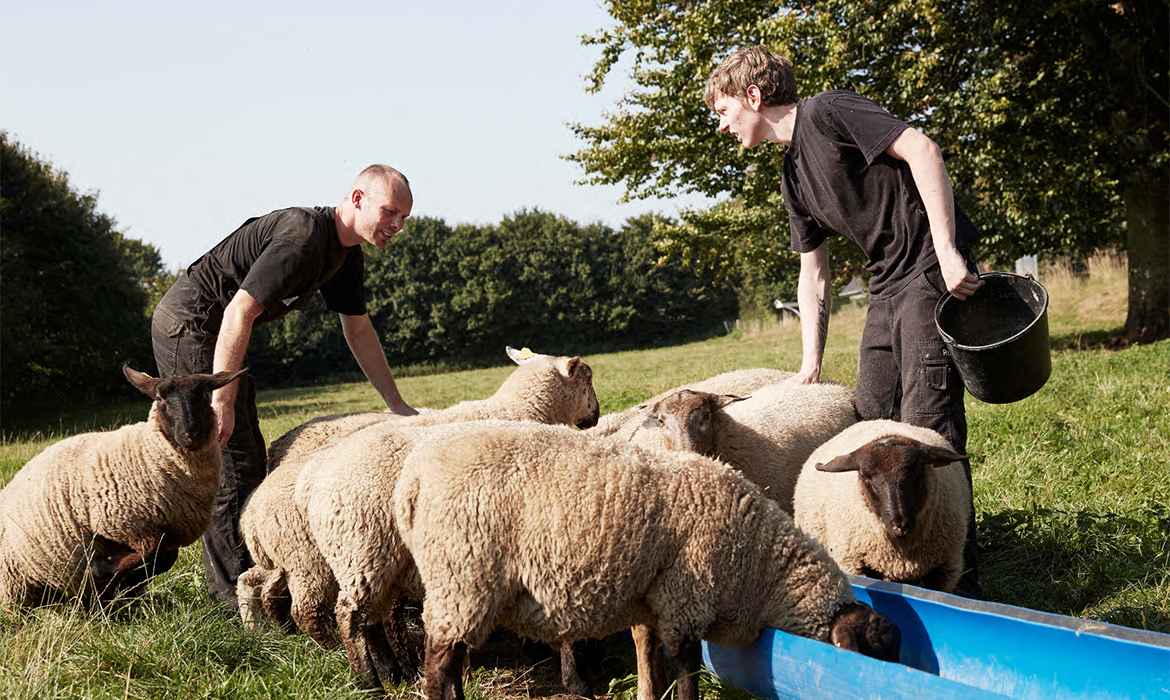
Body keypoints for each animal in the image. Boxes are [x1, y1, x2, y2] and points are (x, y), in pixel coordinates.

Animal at [0, 367, 244, 608]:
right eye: (159, 399)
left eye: (204, 396)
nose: (189, 435)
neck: (147, 452)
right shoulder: (122, 523)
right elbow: (148, 550)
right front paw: (104, 571)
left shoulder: (170, 531)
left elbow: (164, 559)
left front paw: (127, 585)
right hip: (14, 586)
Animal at [397, 421, 898, 700]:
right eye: (878, 653)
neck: (762, 567)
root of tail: (413, 480)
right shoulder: (687, 599)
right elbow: (688, 673)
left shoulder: (654, 601)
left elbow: (649, 658)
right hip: (463, 577)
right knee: (439, 670)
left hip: (459, 585)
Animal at [790, 421, 973, 592]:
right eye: (865, 476)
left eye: (916, 470)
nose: (899, 524)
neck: (903, 553)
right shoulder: (854, 565)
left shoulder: (944, 569)